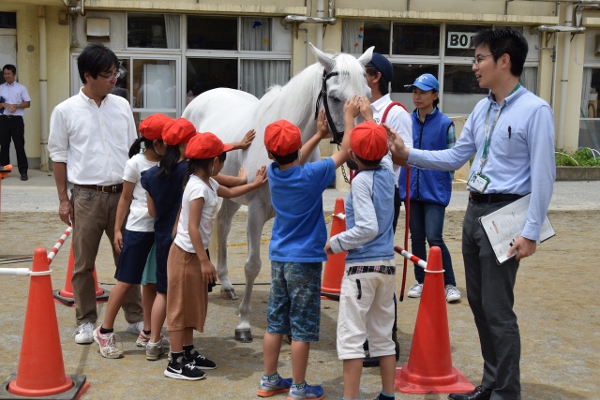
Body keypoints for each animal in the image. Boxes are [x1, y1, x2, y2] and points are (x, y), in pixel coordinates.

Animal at [180, 44, 372, 344]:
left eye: (367, 95)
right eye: (335, 97)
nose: (357, 152)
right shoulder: (257, 212)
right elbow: (252, 265)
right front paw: (244, 324)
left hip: (233, 194)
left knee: (223, 224)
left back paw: (226, 284)